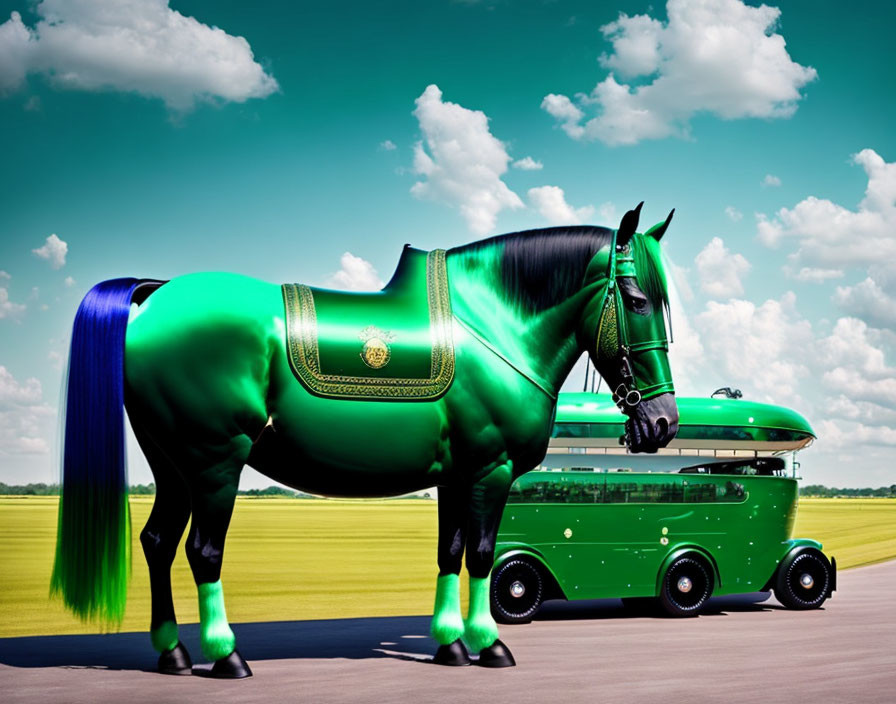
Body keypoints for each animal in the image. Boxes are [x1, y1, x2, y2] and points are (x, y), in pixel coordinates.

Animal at [50, 202, 680, 676]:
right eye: (638, 301)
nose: (662, 422)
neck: (493, 323)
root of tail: (157, 296)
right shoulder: (490, 470)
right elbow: (481, 554)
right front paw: (489, 643)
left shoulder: (456, 476)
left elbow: (450, 552)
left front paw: (451, 644)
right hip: (213, 463)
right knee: (203, 552)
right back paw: (226, 656)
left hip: (172, 463)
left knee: (156, 542)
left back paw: (174, 653)